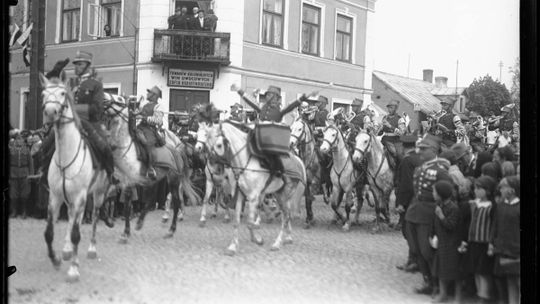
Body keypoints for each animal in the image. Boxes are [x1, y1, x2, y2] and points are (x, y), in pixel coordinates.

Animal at [40, 73, 110, 282]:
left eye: (63, 93)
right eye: (43, 94)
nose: (50, 112)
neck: (66, 155)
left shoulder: (80, 196)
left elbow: (77, 234)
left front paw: (73, 270)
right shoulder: (55, 196)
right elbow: (49, 232)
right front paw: (55, 259)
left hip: (98, 194)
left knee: (94, 217)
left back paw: (91, 249)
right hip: (70, 198)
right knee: (72, 217)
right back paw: (66, 249)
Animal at [103, 93, 200, 242]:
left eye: (119, 99)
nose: (103, 97)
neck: (124, 146)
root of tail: (177, 150)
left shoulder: (131, 181)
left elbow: (127, 205)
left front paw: (125, 232)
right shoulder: (119, 181)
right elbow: (115, 202)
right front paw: (115, 225)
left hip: (173, 180)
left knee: (175, 201)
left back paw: (171, 229)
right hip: (155, 180)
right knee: (150, 201)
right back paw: (142, 221)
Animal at [199, 120, 308, 255]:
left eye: (219, 145)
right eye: (207, 145)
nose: (213, 166)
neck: (246, 161)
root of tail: (297, 159)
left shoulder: (253, 196)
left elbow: (250, 222)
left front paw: (257, 238)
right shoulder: (241, 194)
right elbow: (237, 221)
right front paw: (233, 246)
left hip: (284, 194)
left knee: (286, 216)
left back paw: (277, 243)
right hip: (279, 194)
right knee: (286, 215)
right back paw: (288, 237)